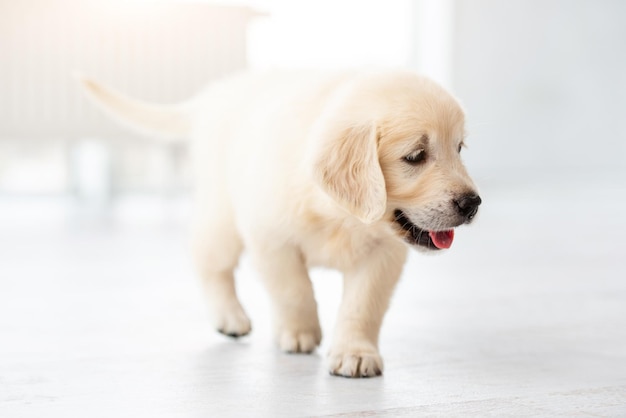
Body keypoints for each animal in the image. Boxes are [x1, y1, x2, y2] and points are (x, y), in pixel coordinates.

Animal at [80, 70, 480, 378]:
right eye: (415, 156)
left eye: (459, 148)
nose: (473, 203)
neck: (342, 215)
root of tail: (216, 93)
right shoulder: (270, 238)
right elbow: (294, 290)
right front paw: (300, 332)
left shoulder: (382, 256)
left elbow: (362, 305)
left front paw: (355, 353)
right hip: (222, 215)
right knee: (209, 263)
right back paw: (229, 316)